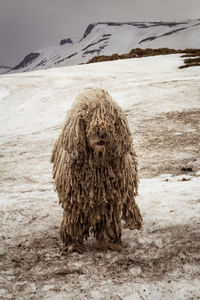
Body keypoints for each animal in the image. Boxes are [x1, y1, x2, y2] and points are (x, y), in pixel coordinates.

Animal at [51, 88, 142, 251]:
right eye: (88, 116)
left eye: (109, 115)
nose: (101, 132)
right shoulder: (73, 199)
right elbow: (73, 220)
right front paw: (72, 244)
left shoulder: (110, 199)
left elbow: (108, 222)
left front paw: (109, 242)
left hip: (128, 179)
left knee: (130, 202)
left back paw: (134, 222)